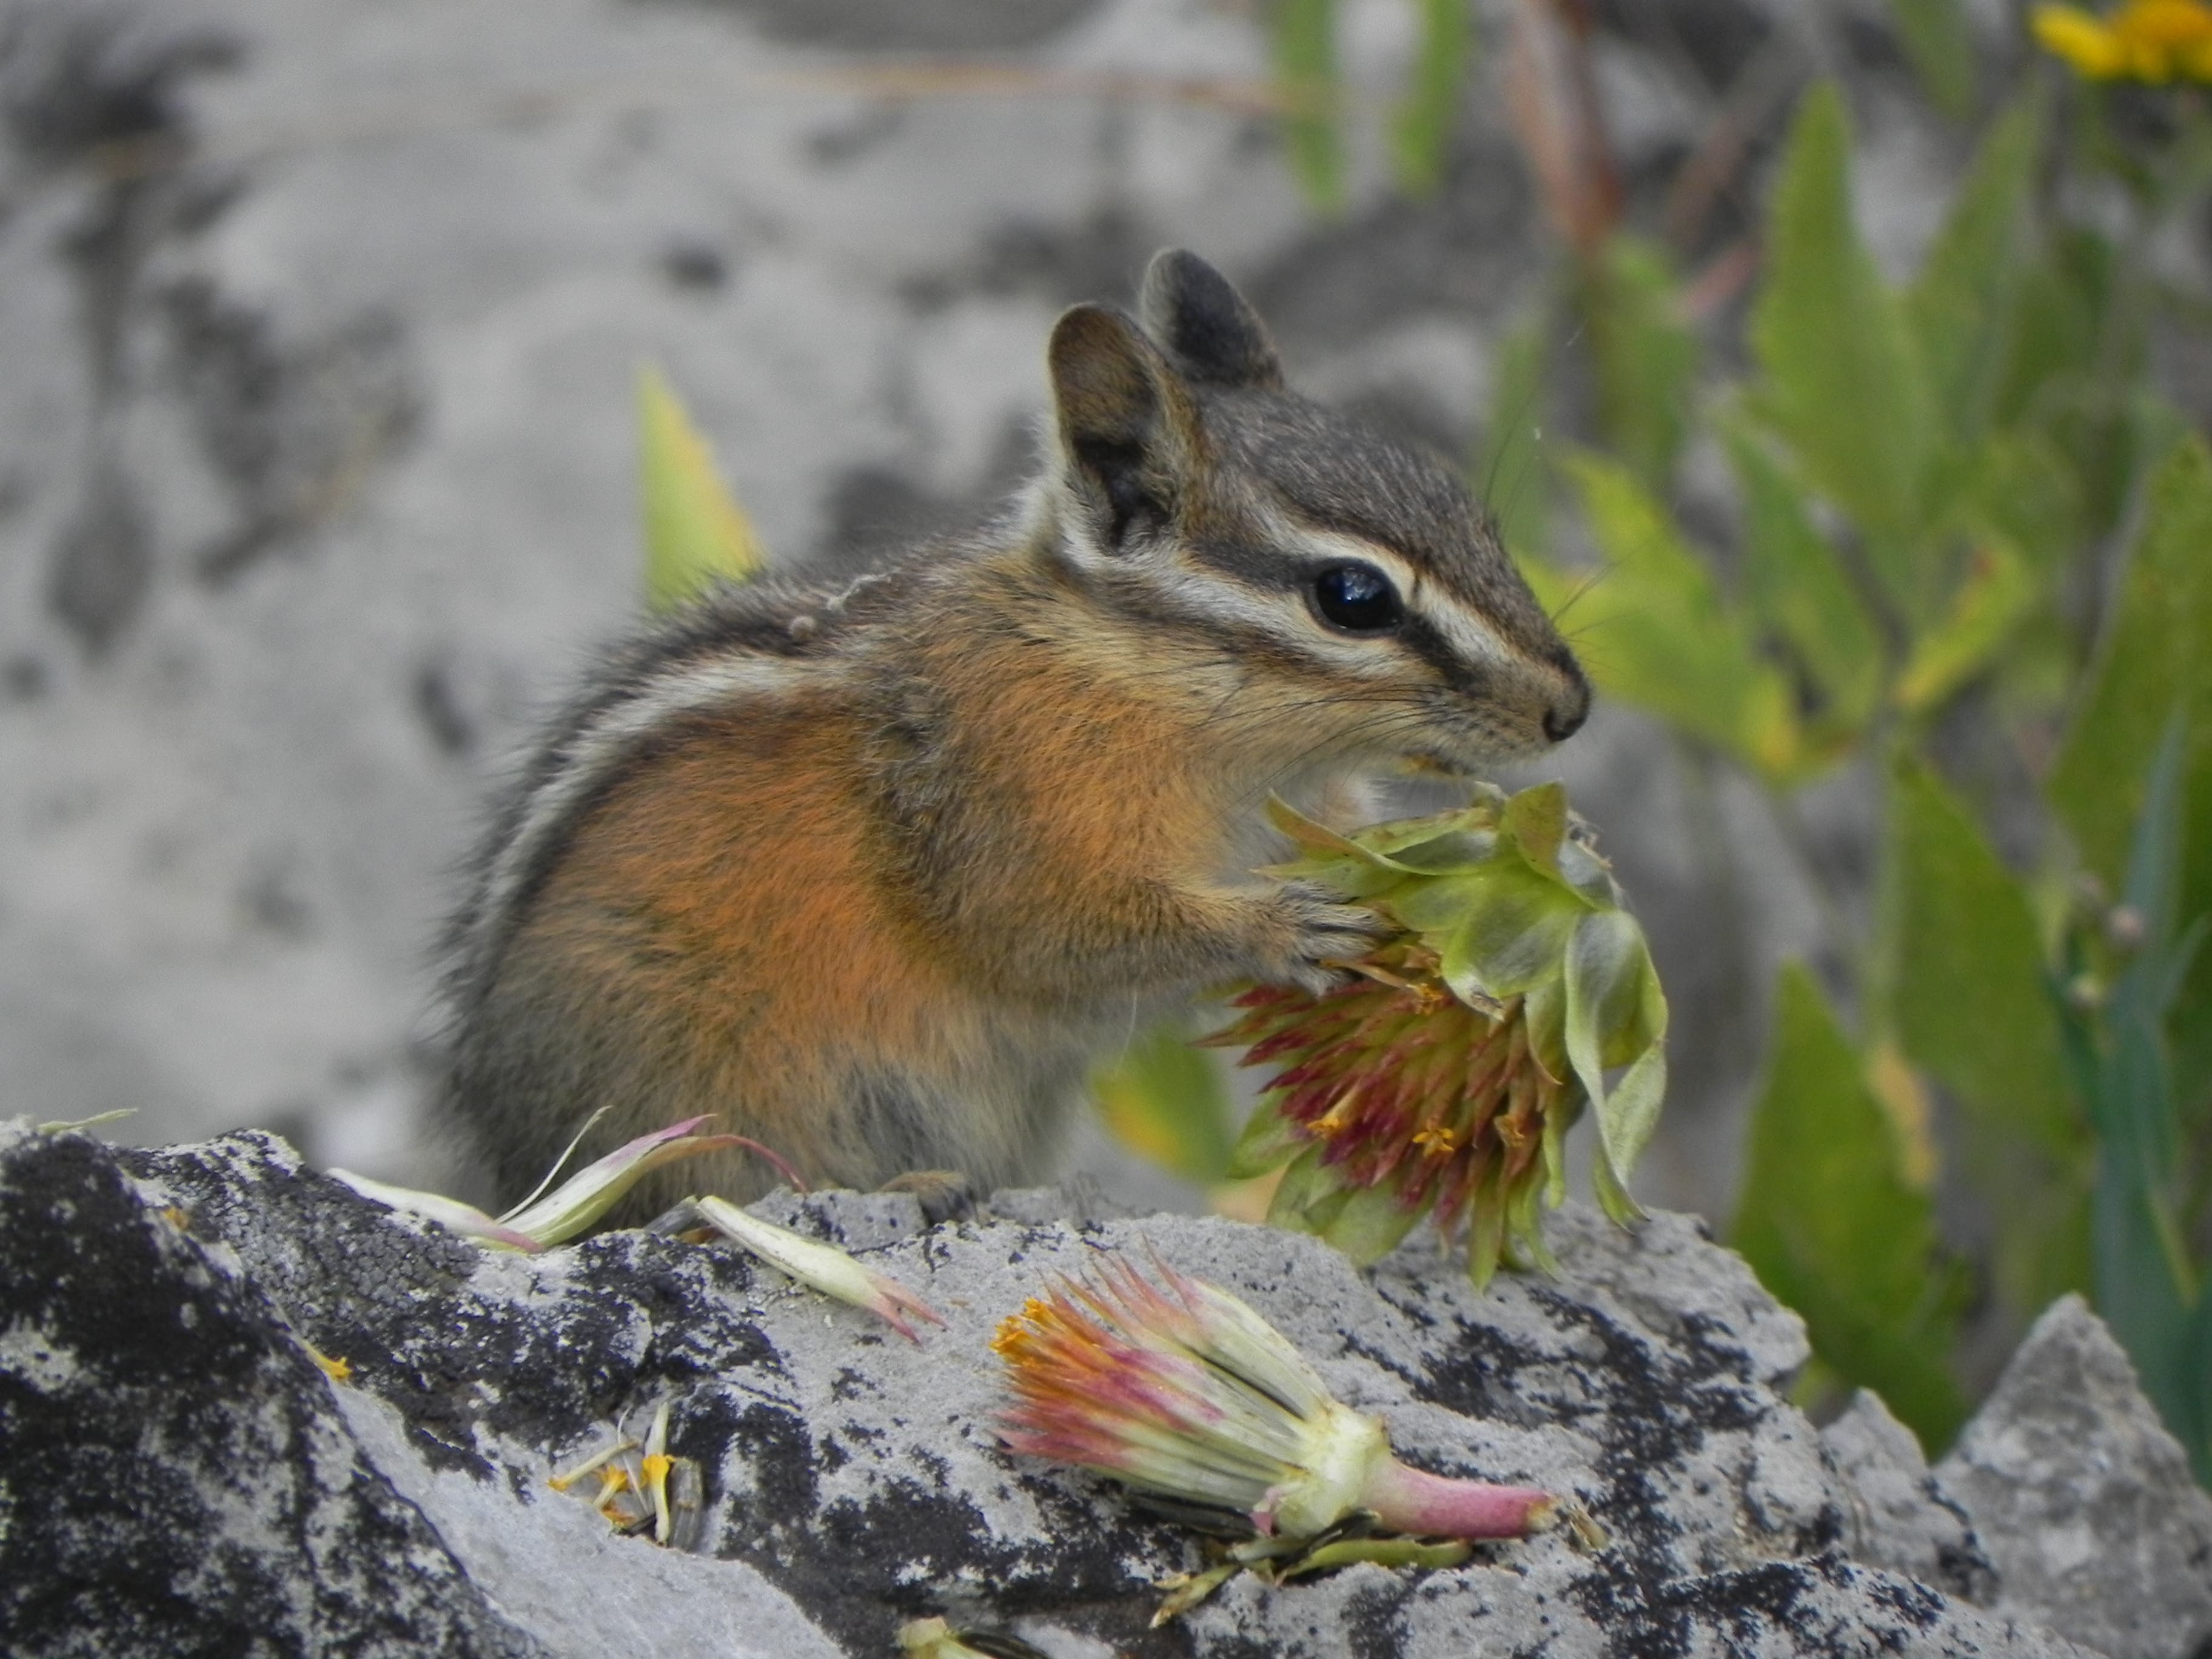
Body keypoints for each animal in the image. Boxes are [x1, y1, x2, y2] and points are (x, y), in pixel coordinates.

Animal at [434, 249, 1590, 1222]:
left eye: (1468, 512)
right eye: (1352, 597)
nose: (1570, 708)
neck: (1143, 678)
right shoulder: (999, 811)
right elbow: (1050, 928)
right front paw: (1281, 928)